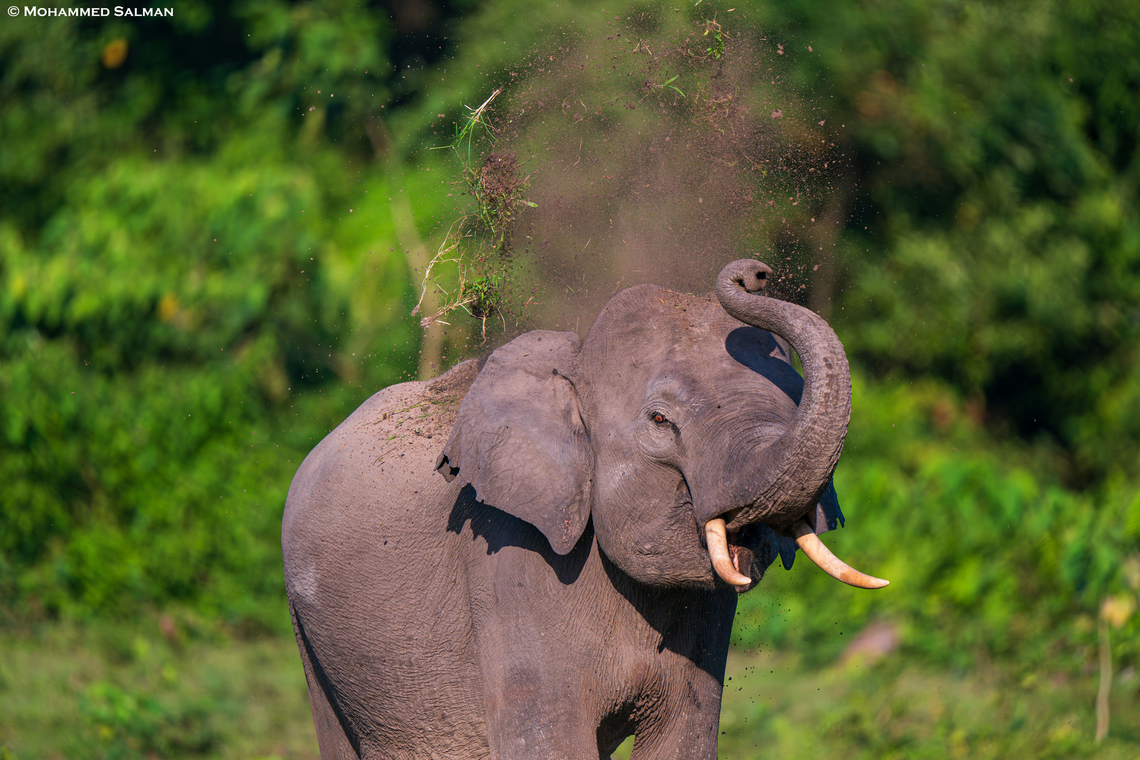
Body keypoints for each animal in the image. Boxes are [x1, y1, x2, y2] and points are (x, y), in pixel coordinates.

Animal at [282, 259, 887, 759]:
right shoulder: (509, 559)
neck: (576, 366)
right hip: (312, 633)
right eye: (660, 421)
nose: (757, 273)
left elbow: (686, 741)